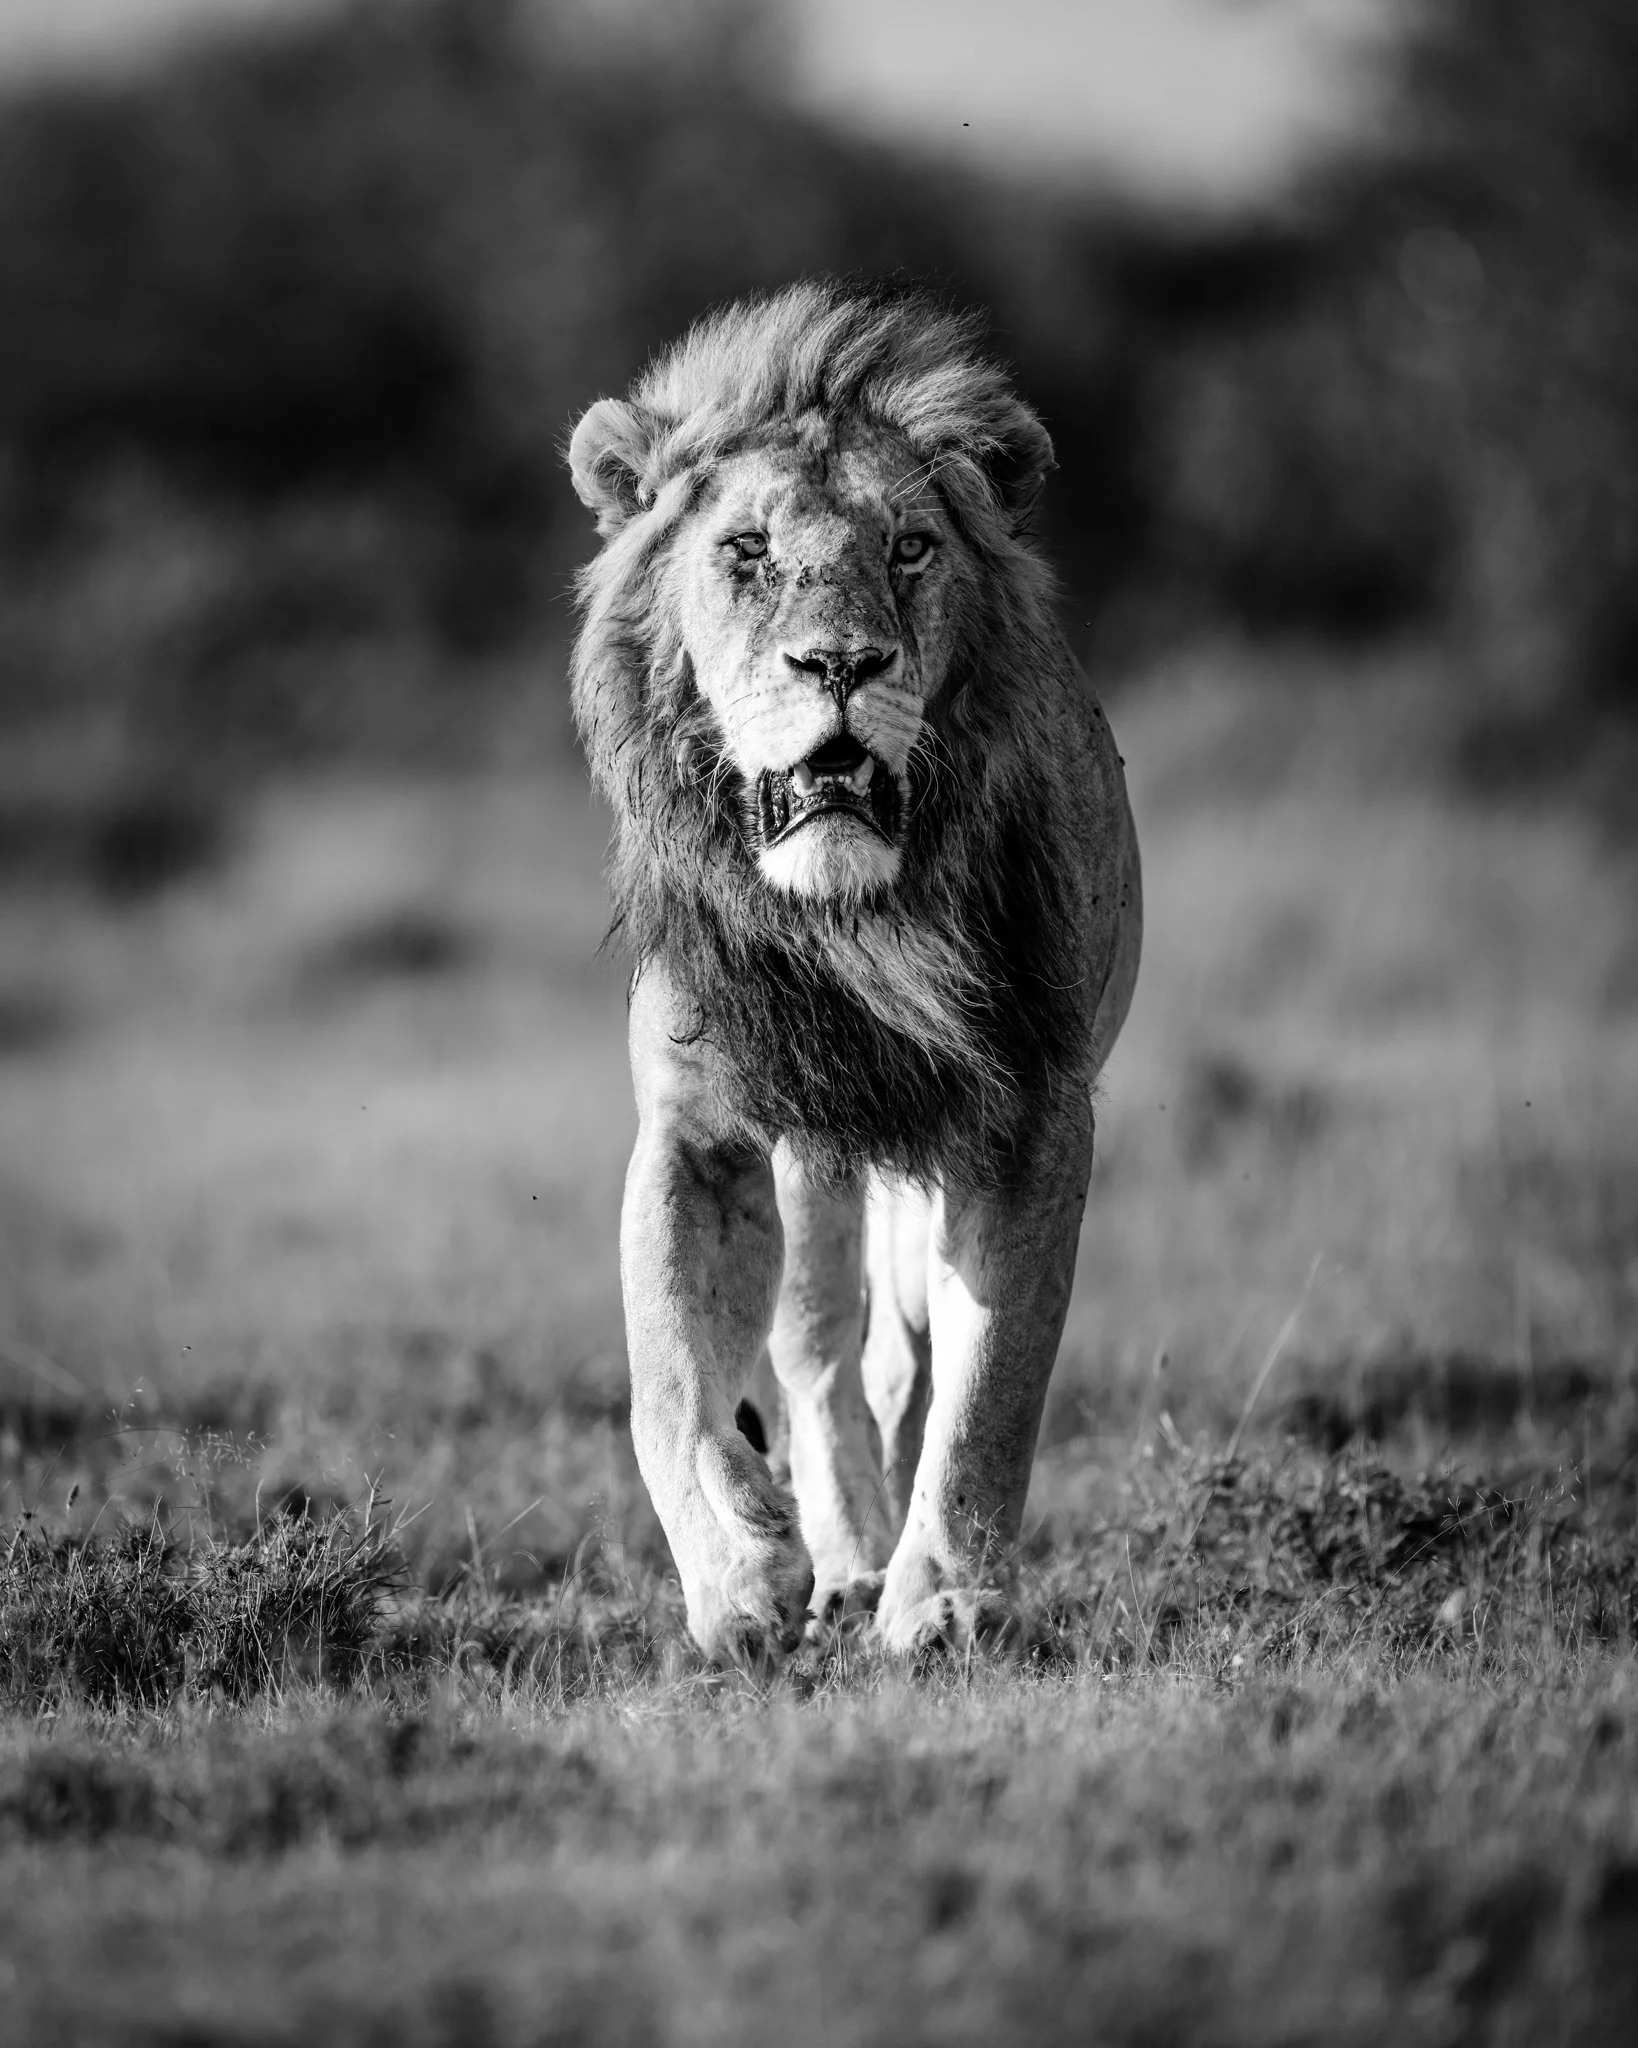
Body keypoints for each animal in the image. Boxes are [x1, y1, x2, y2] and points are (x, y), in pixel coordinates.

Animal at [566, 281, 1141, 1665]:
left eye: (911, 549)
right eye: (747, 550)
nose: (840, 665)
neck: (851, 914)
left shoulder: (1032, 1112)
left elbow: (995, 1383)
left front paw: (946, 1600)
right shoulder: (701, 1126)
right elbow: (669, 1373)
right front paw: (739, 1572)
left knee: (909, 1350)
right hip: (816, 1161)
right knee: (818, 1347)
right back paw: (838, 1562)